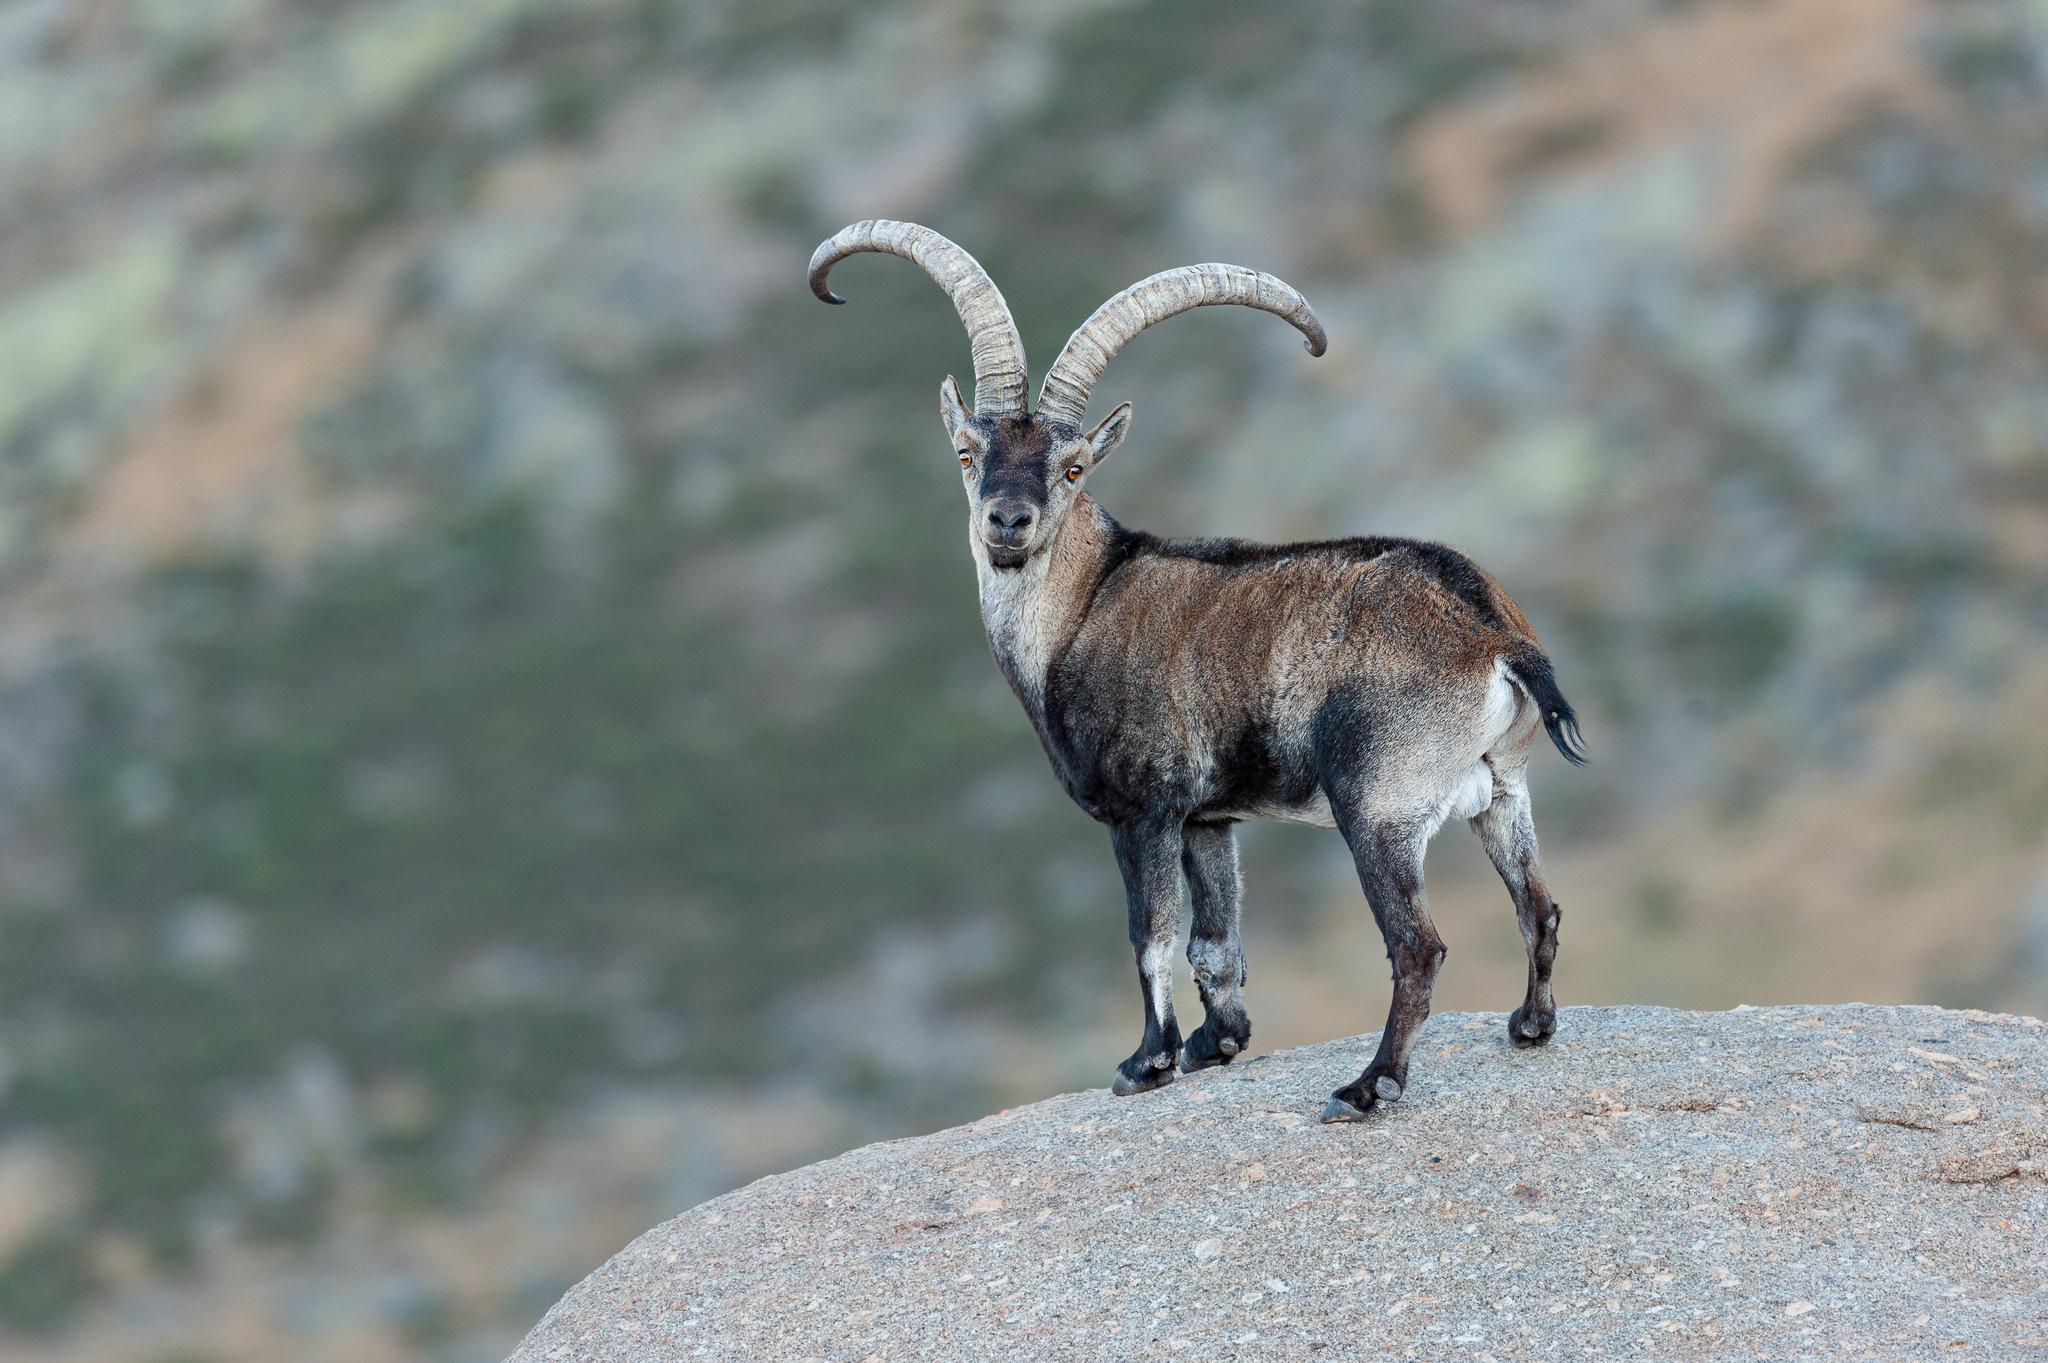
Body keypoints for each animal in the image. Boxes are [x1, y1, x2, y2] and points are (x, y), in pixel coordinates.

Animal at [809, 220, 1586, 1122]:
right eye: (969, 452)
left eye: (1074, 467)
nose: (1009, 520)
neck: (1081, 606)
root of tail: (1493, 632)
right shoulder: (1210, 818)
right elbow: (1216, 942)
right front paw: (1217, 1043)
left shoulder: (1143, 808)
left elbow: (1150, 937)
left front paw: (1147, 1061)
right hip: (1501, 791)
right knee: (1540, 906)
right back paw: (1530, 1023)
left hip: (1379, 806)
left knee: (1418, 946)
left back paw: (1369, 1085)